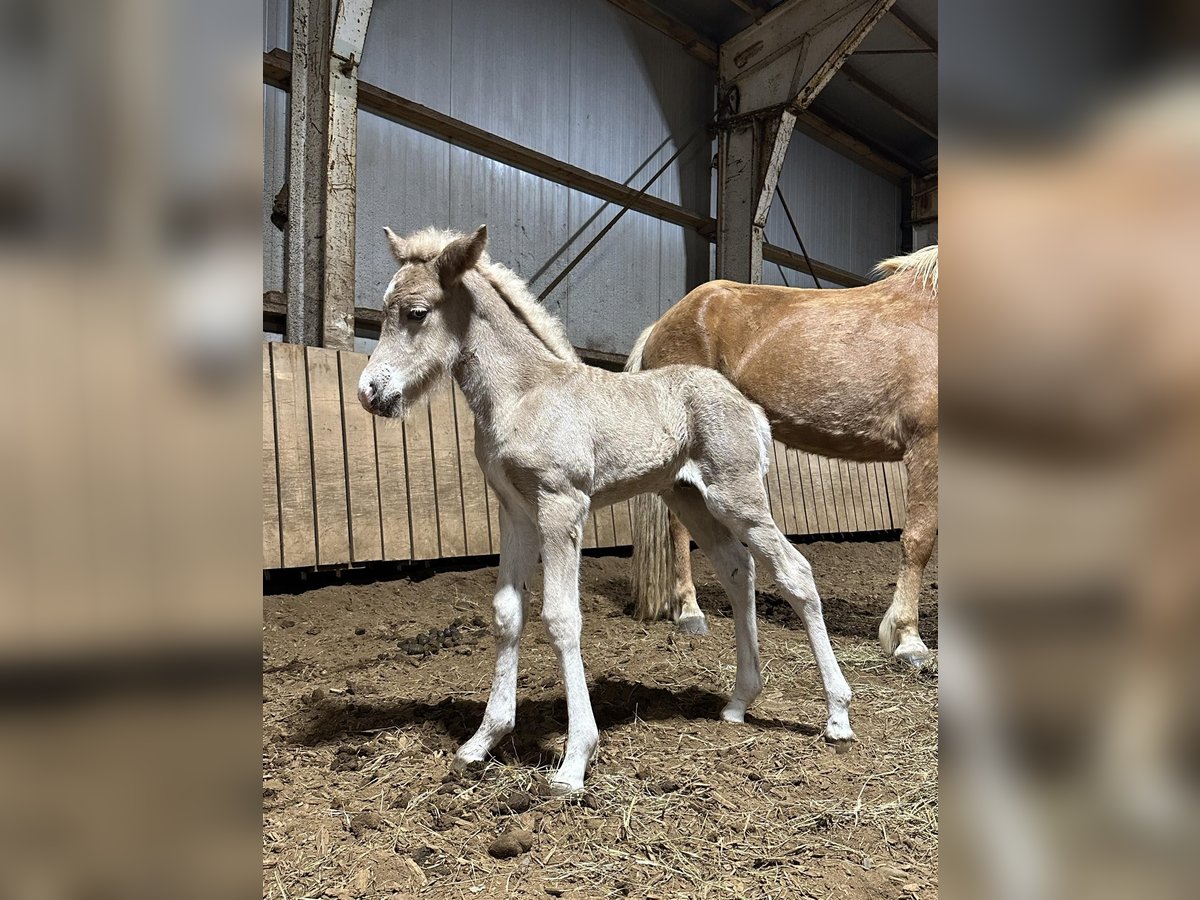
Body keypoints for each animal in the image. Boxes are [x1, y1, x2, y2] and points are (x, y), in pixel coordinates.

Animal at [355, 226, 854, 796]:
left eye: (416, 313)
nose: (369, 392)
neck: (524, 393)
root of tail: (749, 406)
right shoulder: (515, 513)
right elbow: (507, 612)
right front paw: (481, 742)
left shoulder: (561, 506)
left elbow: (561, 617)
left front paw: (574, 762)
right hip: (691, 498)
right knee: (737, 570)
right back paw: (737, 702)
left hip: (738, 495)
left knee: (795, 573)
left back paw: (837, 717)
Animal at [628, 247, 936, 672]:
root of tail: (663, 322)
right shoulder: (927, 443)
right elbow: (919, 540)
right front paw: (909, 641)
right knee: (679, 526)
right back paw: (689, 612)